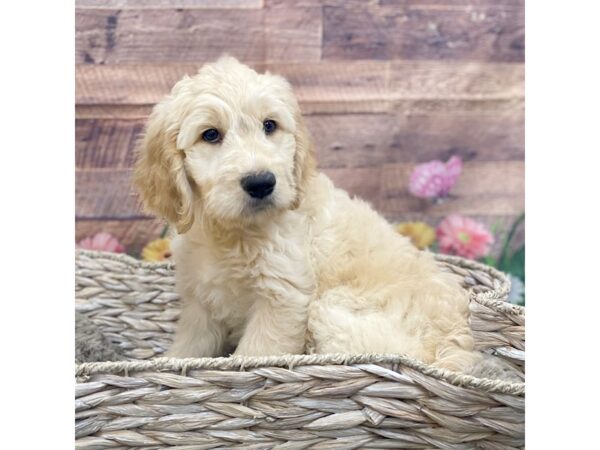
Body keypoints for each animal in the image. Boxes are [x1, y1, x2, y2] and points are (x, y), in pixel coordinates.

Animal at [136, 56, 496, 376]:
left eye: (270, 125)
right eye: (210, 135)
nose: (261, 183)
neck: (228, 231)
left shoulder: (282, 299)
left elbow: (253, 354)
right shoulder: (202, 301)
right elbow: (189, 345)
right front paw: (166, 364)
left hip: (330, 309)